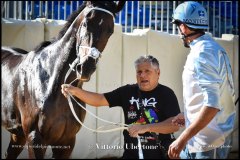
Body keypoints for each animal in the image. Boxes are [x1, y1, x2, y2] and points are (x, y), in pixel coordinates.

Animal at [1, 1, 125, 159]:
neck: (49, 83)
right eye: (86, 23)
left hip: (18, 135)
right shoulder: (34, 139)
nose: (85, 68)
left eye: (110, 31)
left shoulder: (67, 142)